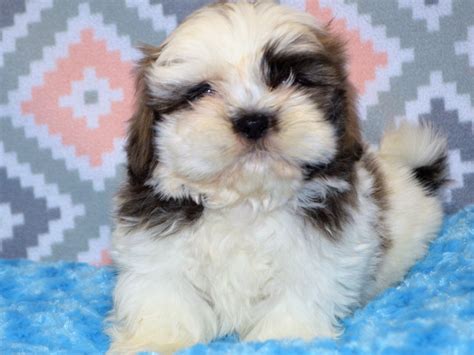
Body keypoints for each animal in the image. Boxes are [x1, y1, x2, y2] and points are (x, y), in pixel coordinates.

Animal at [107, 0, 448, 354]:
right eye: (202, 91)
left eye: (291, 79)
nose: (253, 120)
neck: (246, 202)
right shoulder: (156, 251)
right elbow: (163, 297)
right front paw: (154, 340)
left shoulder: (316, 257)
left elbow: (295, 299)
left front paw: (284, 339)